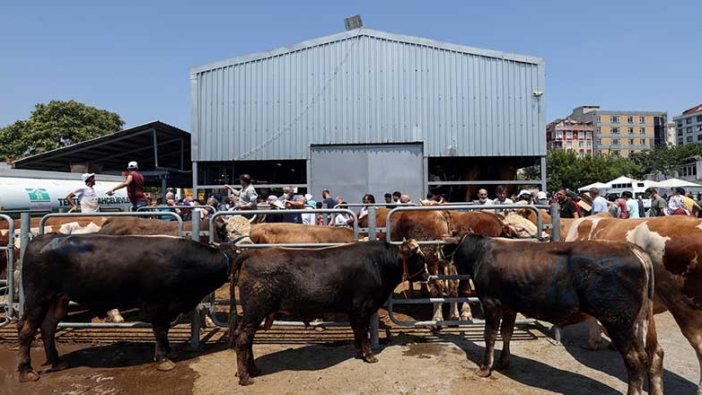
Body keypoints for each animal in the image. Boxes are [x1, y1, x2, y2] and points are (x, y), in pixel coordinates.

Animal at [17, 235, 231, 384]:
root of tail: (42, 240)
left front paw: (169, 352)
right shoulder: (158, 305)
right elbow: (160, 331)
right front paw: (163, 359)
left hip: (59, 300)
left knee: (48, 327)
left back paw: (57, 361)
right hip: (38, 300)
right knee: (27, 331)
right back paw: (26, 371)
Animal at [231, 241, 428, 386]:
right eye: (419, 257)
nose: (427, 275)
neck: (379, 263)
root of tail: (252, 253)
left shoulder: (353, 311)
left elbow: (357, 332)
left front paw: (359, 352)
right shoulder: (362, 308)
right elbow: (363, 332)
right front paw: (369, 355)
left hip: (254, 314)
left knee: (248, 338)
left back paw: (253, 369)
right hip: (255, 310)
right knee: (243, 338)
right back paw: (245, 377)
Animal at [446, 235, 664, 395]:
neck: (482, 253)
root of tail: (632, 248)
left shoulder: (491, 303)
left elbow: (490, 335)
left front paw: (485, 368)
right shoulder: (509, 306)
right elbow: (506, 333)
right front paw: (504, 361)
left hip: (617, 322)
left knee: (635, 360)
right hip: (639, 321)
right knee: (654, 355)